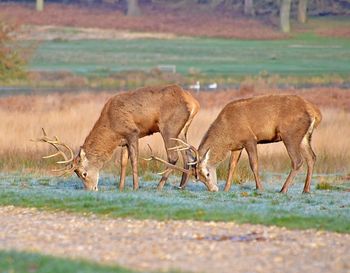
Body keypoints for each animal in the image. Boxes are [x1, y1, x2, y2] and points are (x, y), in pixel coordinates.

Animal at [35, 84, 201, 190]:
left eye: (83, 173)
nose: (91, 189)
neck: (111, 127)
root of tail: (194, 103)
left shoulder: (133, 132)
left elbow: (134, 160)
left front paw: (135, 187)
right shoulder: (123, 141)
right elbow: (123, 162)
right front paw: (120, 187)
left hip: (169, 127)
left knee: (174, 156)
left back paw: (159, 186)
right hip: (181, 131)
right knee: (189, 154)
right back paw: (181, 186)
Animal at [146, 94, 322, 192]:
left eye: (207, 174)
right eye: (198, 179)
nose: (213, 189)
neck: (228, 134)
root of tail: (316, 112)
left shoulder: (250, 139)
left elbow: (254, 164)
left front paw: (260, 188)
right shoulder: (238, 146)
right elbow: (231, 167)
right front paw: (226, 188)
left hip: (290, 134)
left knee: (297, 160)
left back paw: (283, 190)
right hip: (305, 137)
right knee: (312, 157)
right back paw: (306, 190)